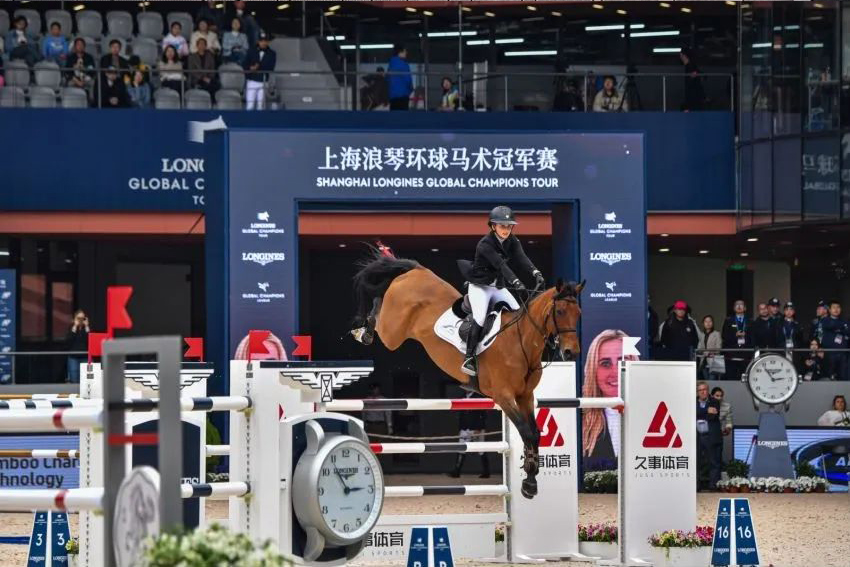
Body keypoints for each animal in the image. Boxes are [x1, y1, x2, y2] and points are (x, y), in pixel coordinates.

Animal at [351, 250, 584, 499]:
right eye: (560, 311)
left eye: (578, 313)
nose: (571, 352)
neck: (520, 341)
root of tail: (417, 270)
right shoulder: (504, 396)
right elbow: (526, 432)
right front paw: (529, 484)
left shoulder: (525, 396)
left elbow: (534, 434)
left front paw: (530, 479)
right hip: (391, 333)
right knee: (378, 308)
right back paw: (363, 331)